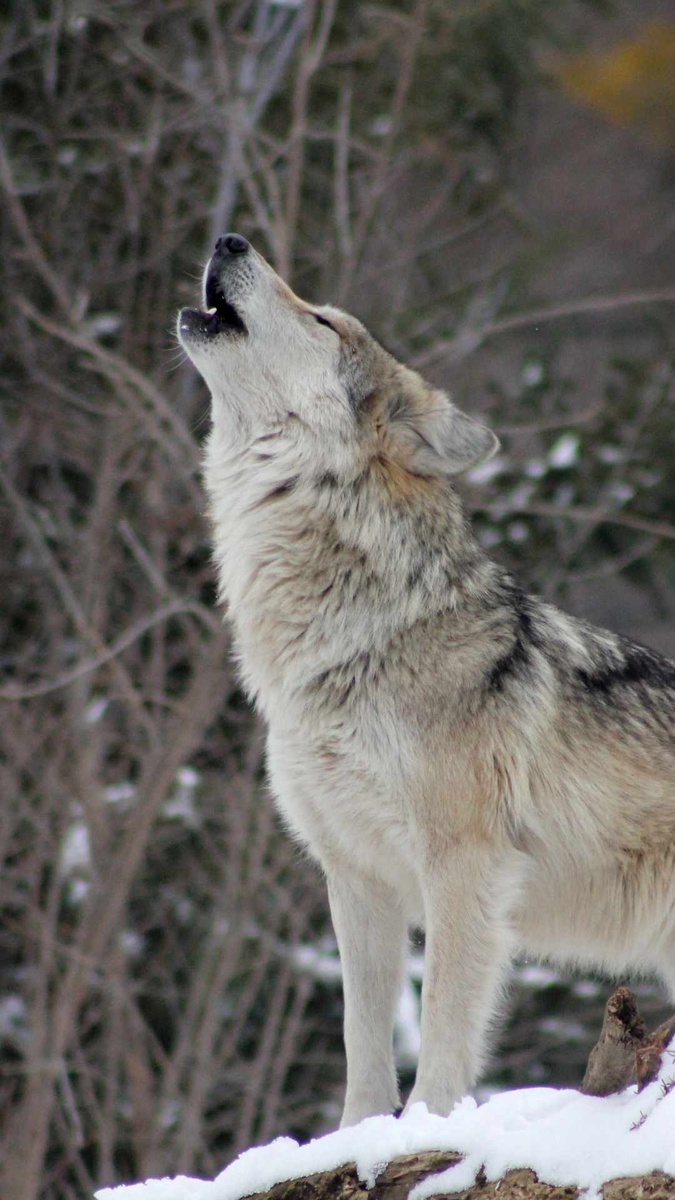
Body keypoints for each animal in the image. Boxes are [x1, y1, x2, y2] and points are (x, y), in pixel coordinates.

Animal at [178, 233, 675, 1128]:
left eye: (323, 320)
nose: (229, 239)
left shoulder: (463, 863)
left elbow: (443, 1017)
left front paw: (430, 1127)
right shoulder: (355, 875)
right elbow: (362, 1036)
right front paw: (357, 1137)